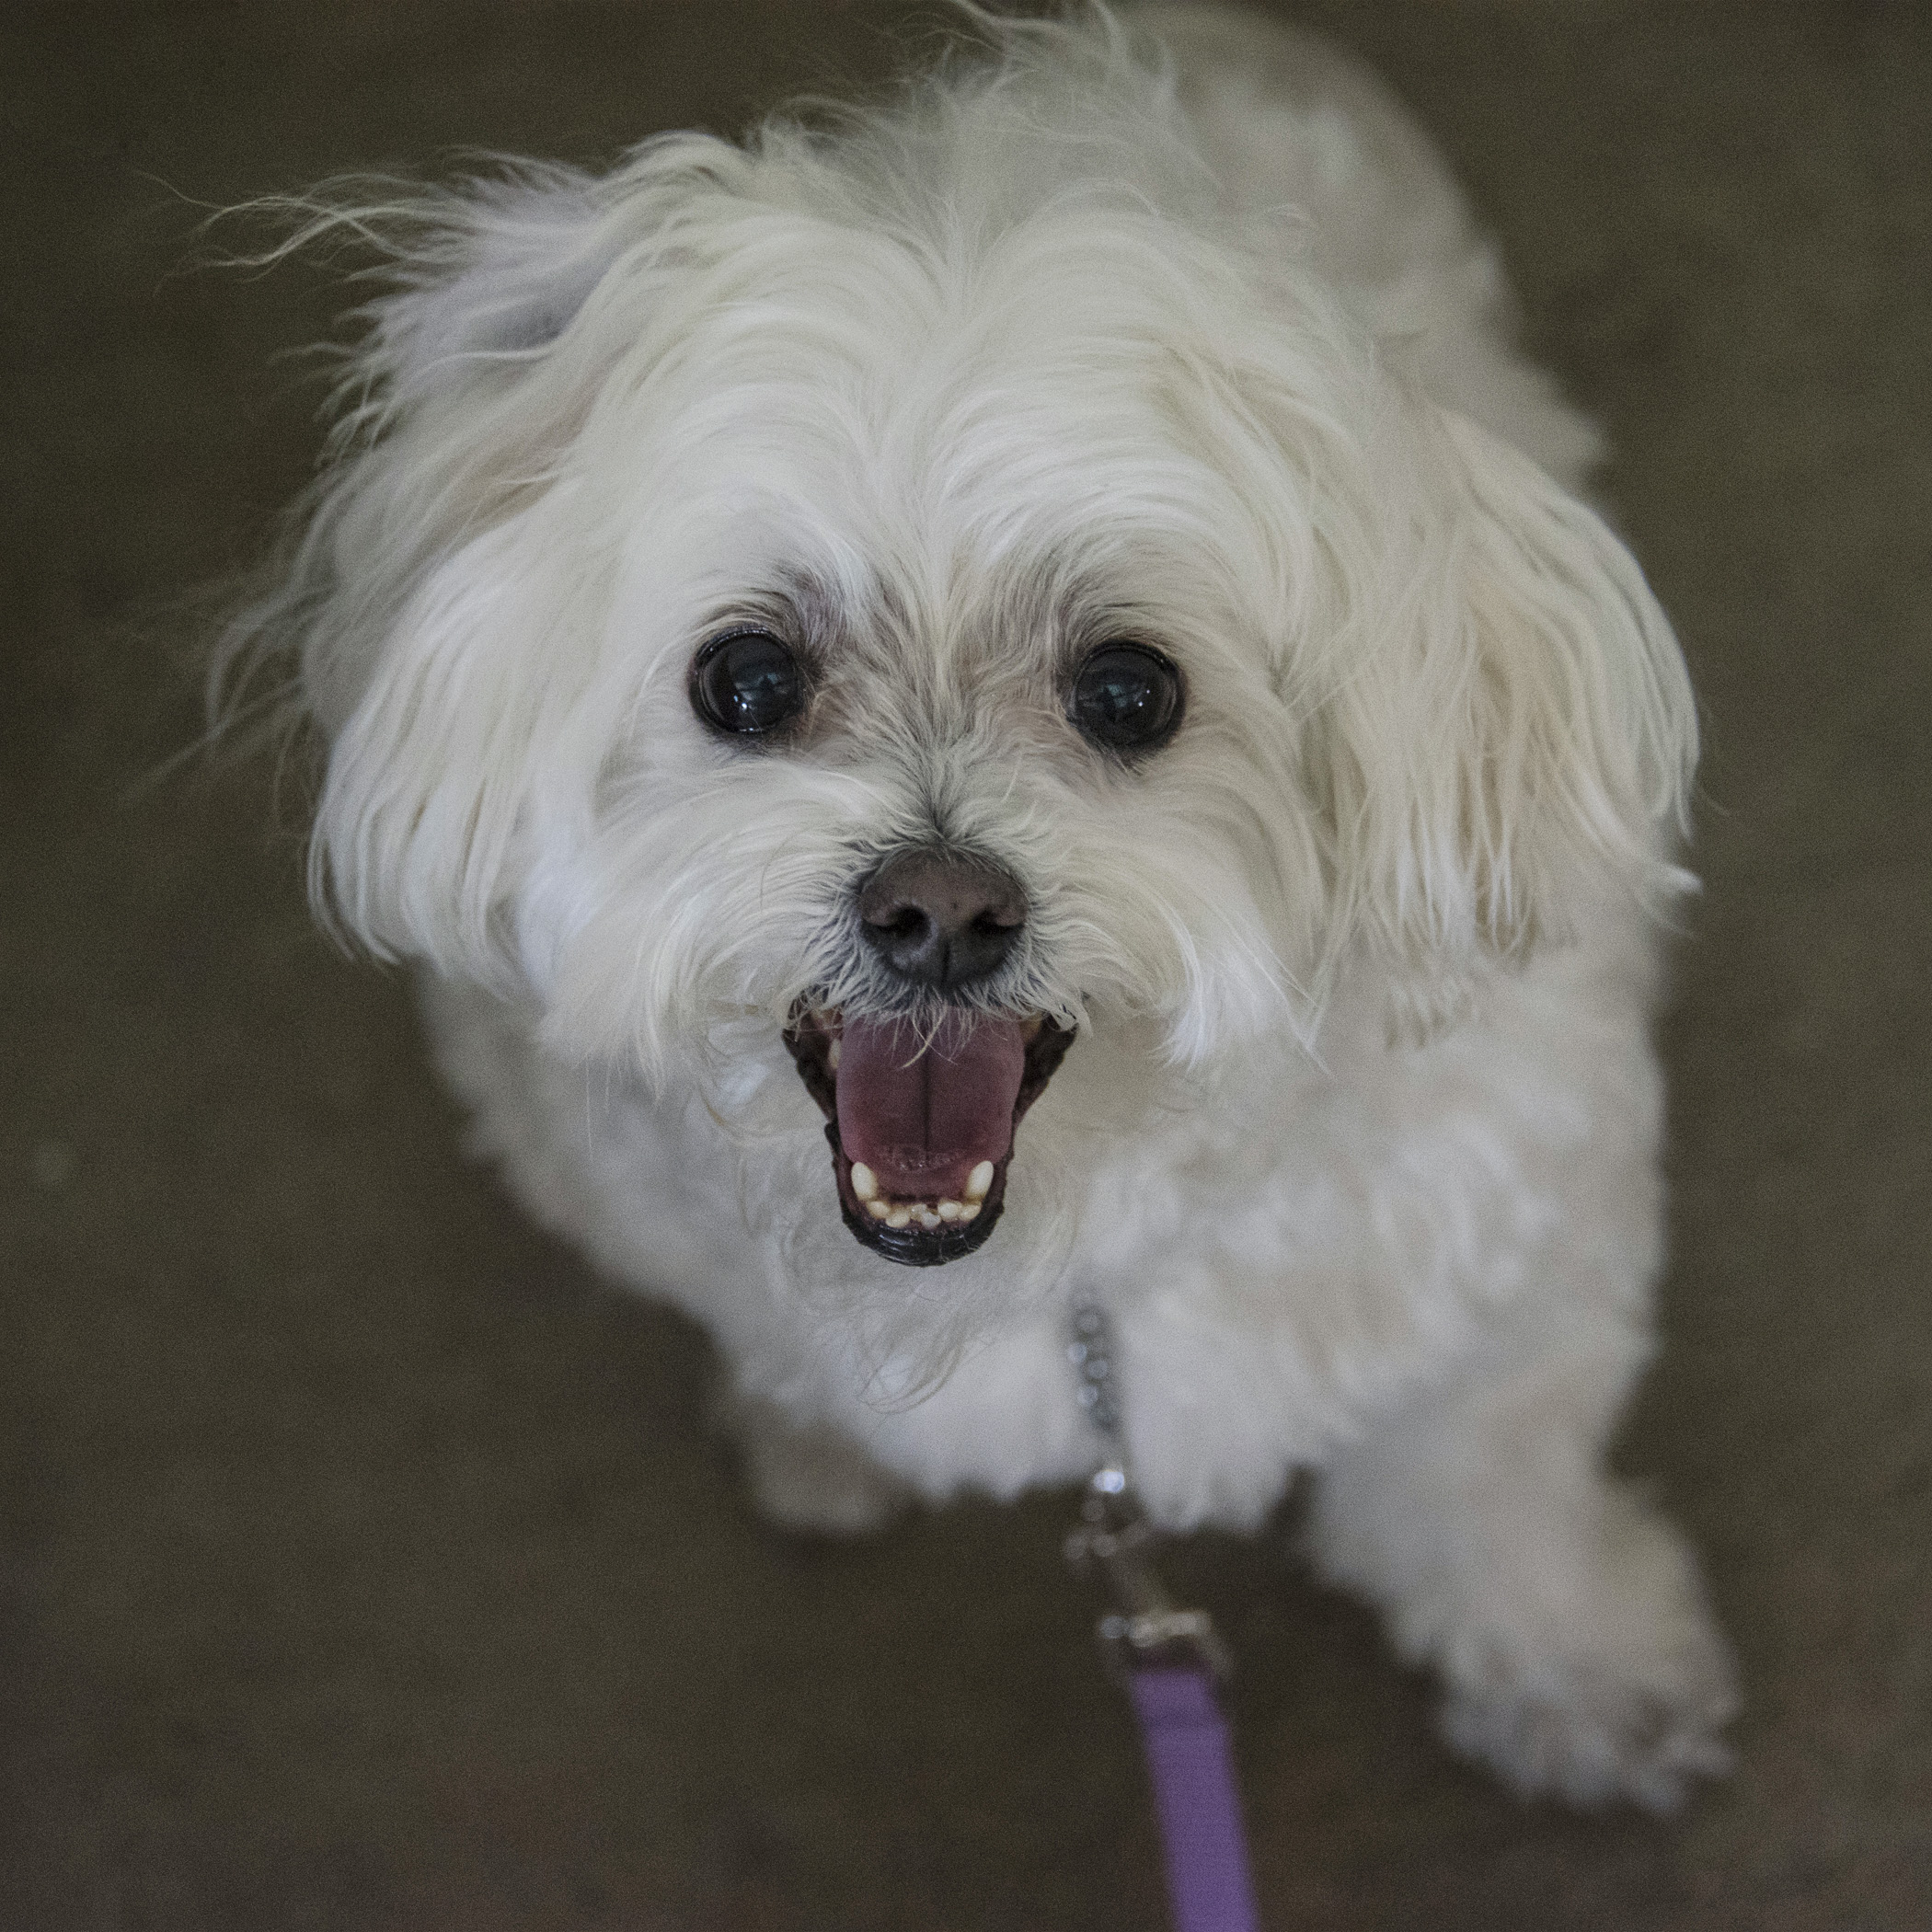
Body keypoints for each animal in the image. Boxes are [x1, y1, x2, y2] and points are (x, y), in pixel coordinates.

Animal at [225, 0, 1738, 1808]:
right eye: (748, 679)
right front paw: (810, 1427)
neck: (1057, 1275)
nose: (938, 910)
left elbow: (1492, 1477)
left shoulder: (1525, 1259)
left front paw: (1586, 1670)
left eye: (1132, 692)